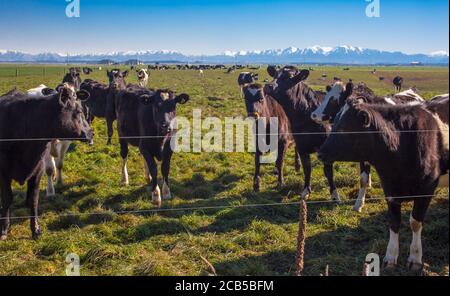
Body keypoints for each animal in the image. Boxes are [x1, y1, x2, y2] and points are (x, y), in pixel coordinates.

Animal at [0, 84, 93, 240]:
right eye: (79, 111)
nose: (91, 133)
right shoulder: (3, 173)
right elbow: (7, 199)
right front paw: (4, 229)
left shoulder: (38, 169)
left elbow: (34, 199)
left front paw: (35, 229)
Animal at [264, 65, 342, 201]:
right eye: (275, 75)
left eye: (289, 77)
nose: (269, 86)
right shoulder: (302, 147)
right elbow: (307, 169)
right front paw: (306, 190)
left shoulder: (325, 148)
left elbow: (328, 172)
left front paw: (334, 194)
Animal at [318, 96, 448, 270]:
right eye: (334, 123)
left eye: (345, 127)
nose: (320, 153)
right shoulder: (389, 188)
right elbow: (394, 222)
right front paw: (391, 256)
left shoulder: (426, 189)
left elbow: (415, 222)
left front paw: (415, 258)